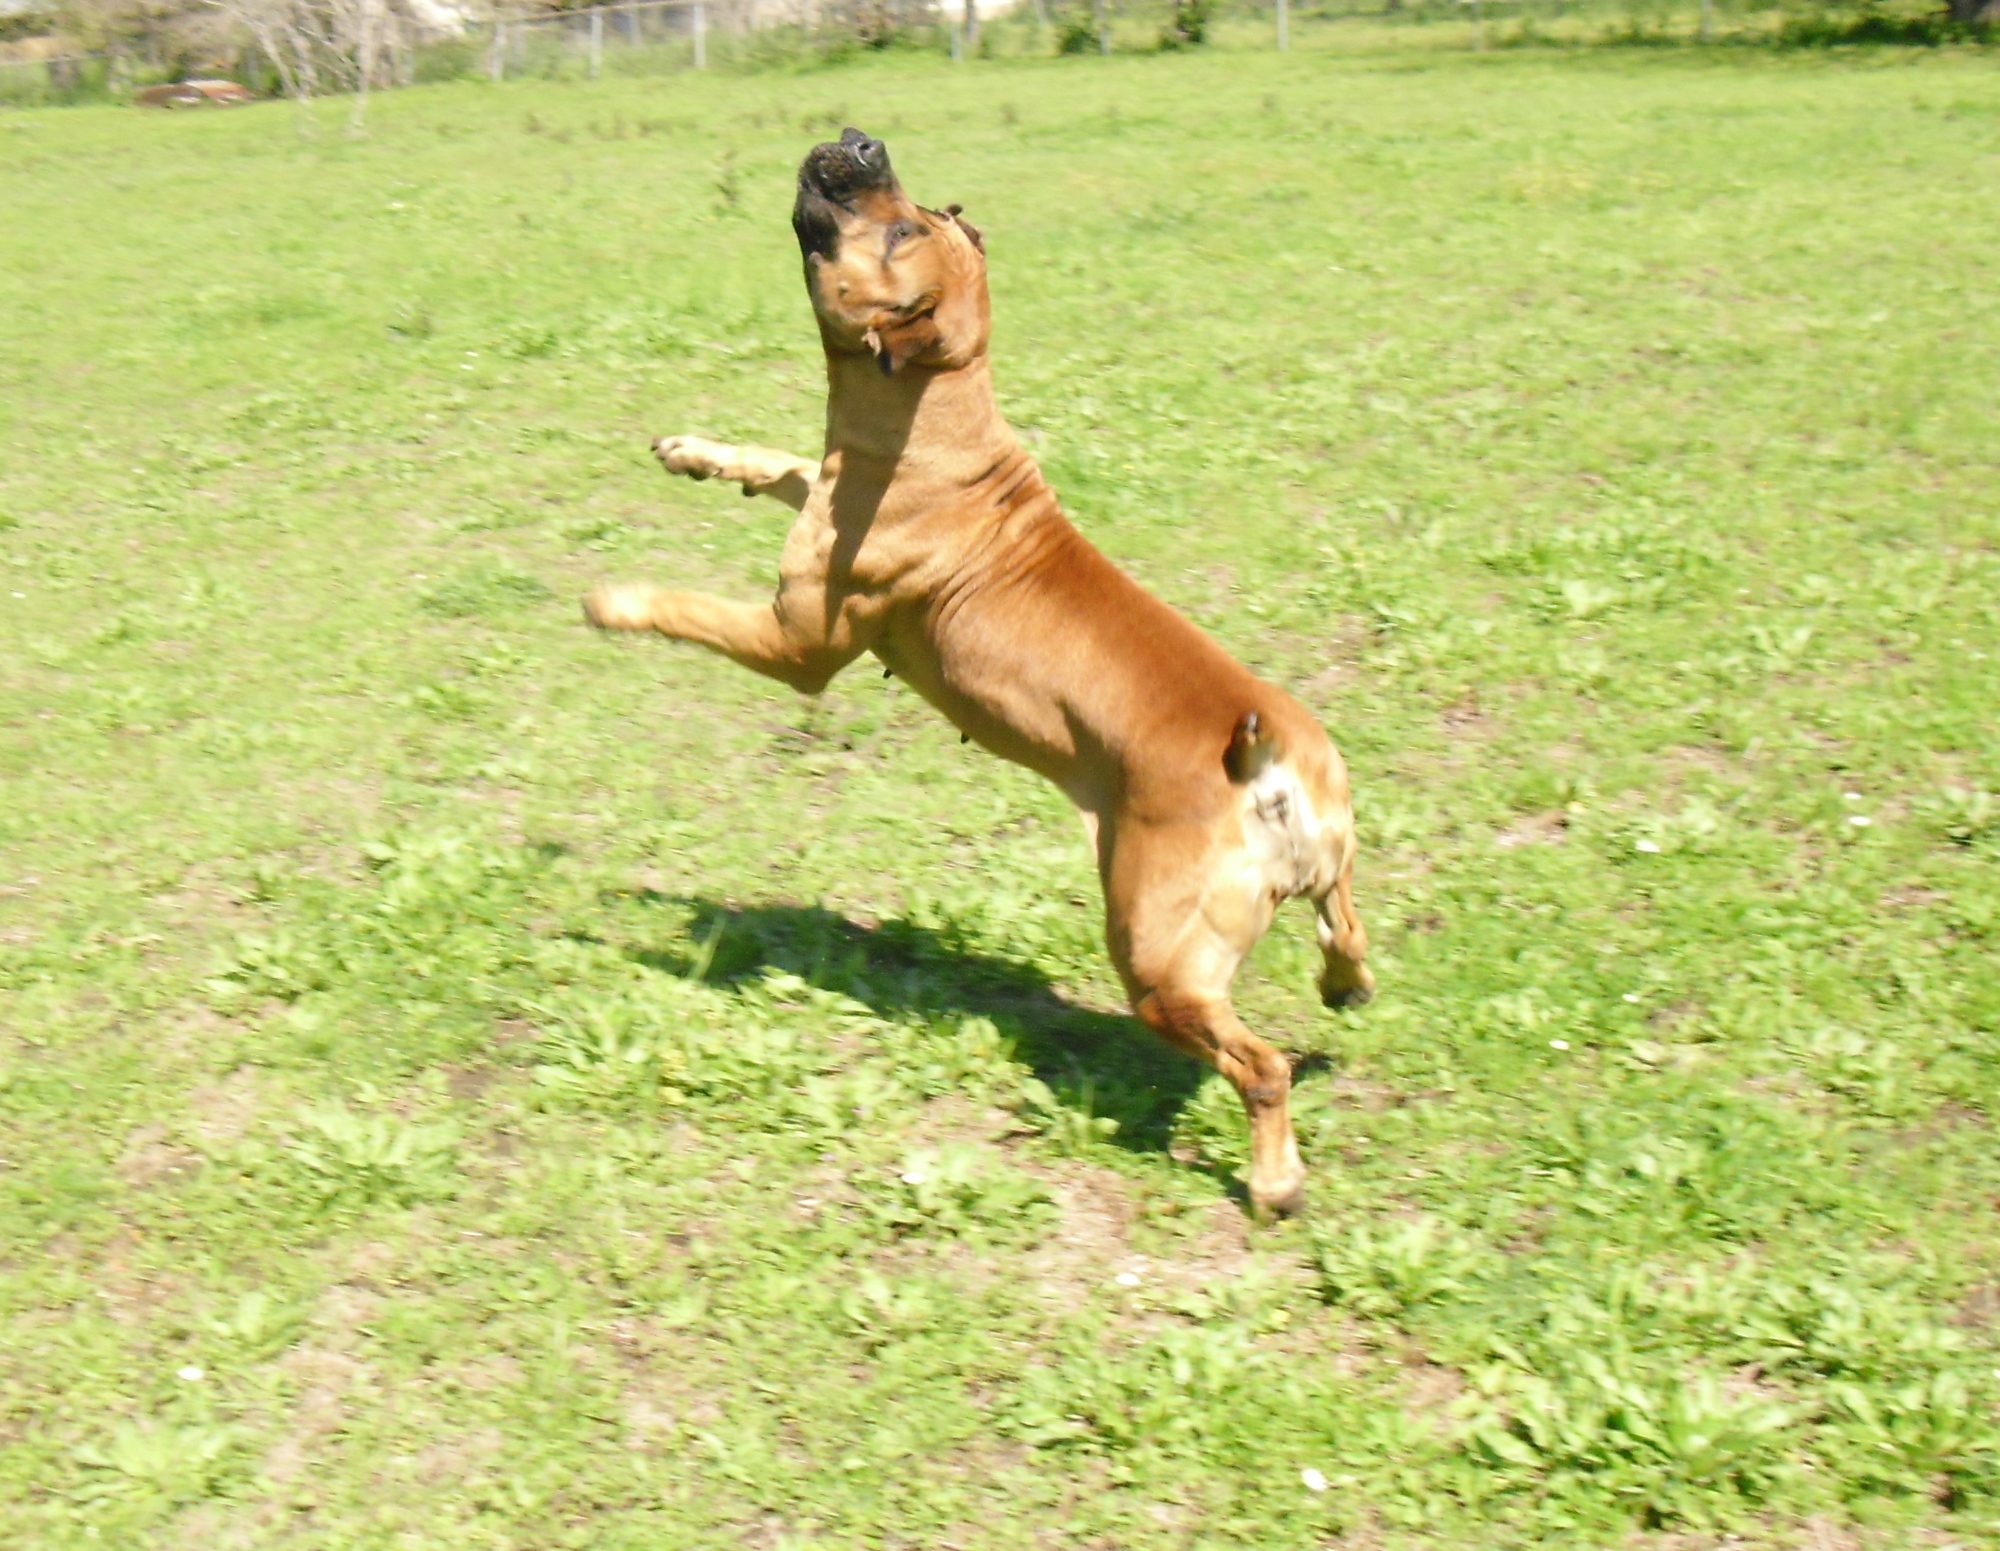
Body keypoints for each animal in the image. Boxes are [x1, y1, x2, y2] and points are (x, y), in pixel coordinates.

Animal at [584, 129, 1375, 1216]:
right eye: (923, 211)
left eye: (901, 230)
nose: (862, 141)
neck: (936, 406)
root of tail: (1268, 767)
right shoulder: (820, 490)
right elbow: (777, 461)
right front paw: (693, 454)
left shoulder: (795, 644)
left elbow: (687, 607)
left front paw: (613, 601)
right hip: (1318, 864)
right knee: (1345, 923)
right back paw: (1344, 987)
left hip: (1155, 960)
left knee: (1259, 1065)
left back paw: (1275, 1180)